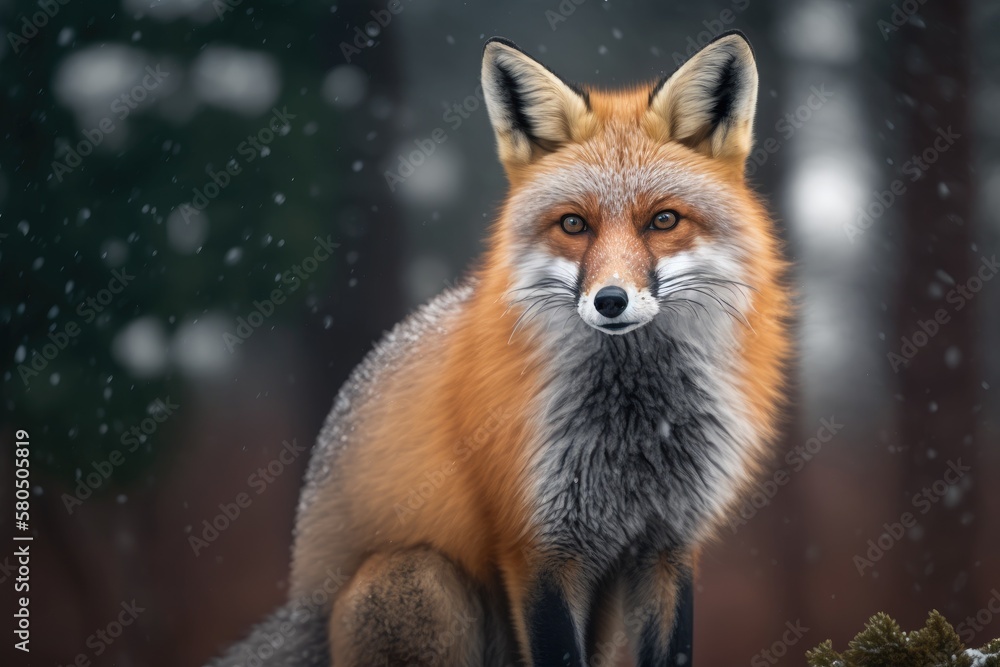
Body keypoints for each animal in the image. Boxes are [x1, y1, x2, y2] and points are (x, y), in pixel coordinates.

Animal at [209, 30, 788, 667]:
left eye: (663, 220)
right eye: (573, 224)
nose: (610, 301)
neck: (634, 430)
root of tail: (302, 604)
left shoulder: (669, 544)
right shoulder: (535, 547)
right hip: (414, 579)